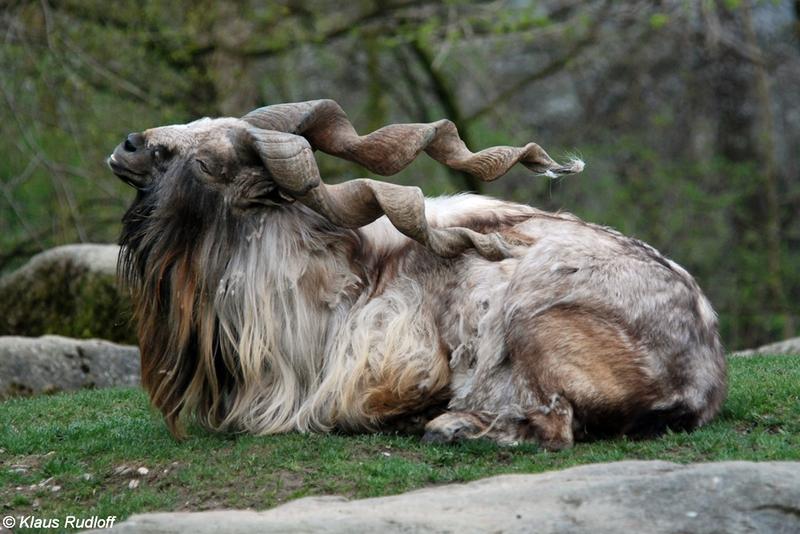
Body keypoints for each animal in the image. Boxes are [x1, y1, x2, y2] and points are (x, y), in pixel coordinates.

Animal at [109, 100, 728, 452]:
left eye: (209, 162)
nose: (129, 145)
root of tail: (702, 376)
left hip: (537, 326)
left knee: (555, 427)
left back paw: (453, 427)